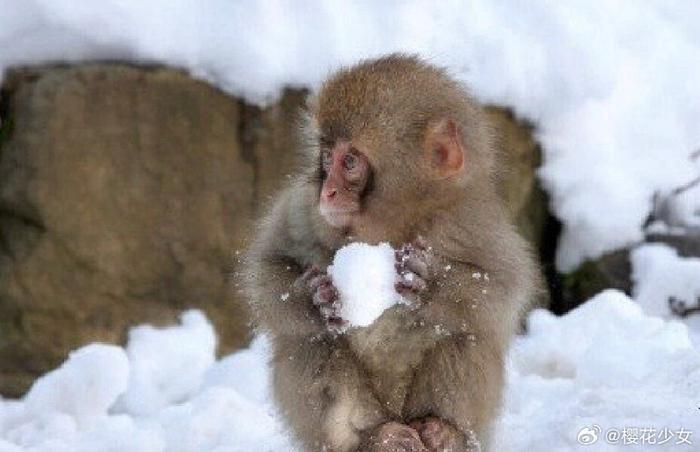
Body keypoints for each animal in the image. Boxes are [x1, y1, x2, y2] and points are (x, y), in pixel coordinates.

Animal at [243, 54, 540, 450]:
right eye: (327, 157)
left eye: (349, 162)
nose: (329, 192)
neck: (388, 229)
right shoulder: (302, 208)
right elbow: (267, 272)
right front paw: (317, 297)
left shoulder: (471, 221)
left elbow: (503, 287)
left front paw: (432, 284)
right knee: (309, 340)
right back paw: (375, 436)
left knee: (466, 330)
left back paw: (442, 428)